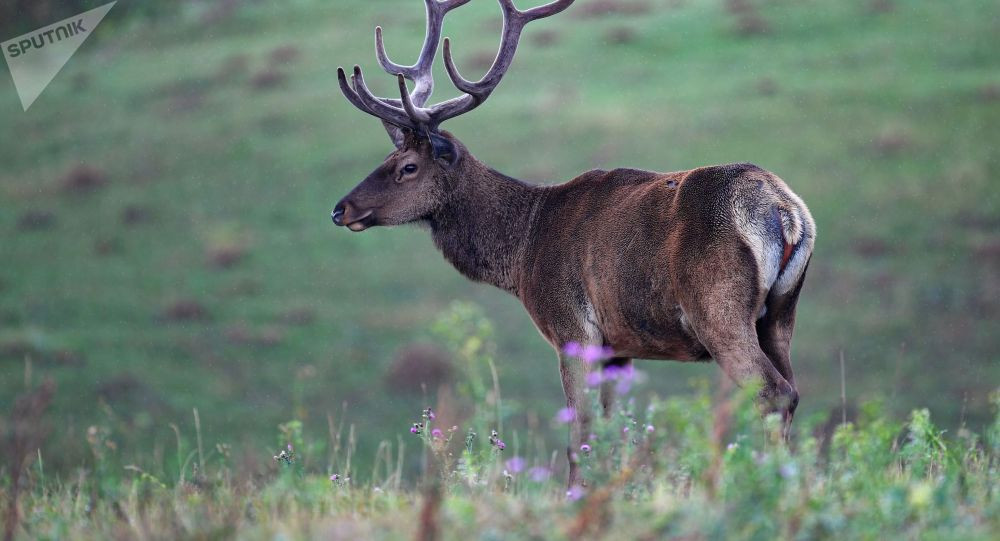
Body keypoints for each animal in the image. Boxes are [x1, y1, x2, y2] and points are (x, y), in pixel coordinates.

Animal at [332, 0, 816, 486]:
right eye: (389, 156)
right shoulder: (618, 346)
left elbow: (580, 433)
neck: (523, 248)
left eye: (408, 167)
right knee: (793, 391)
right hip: (781, 313)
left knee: (772, 392)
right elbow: (615, 434)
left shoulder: (570, 327)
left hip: (717, 309)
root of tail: (783, 210)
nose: (341, 209)